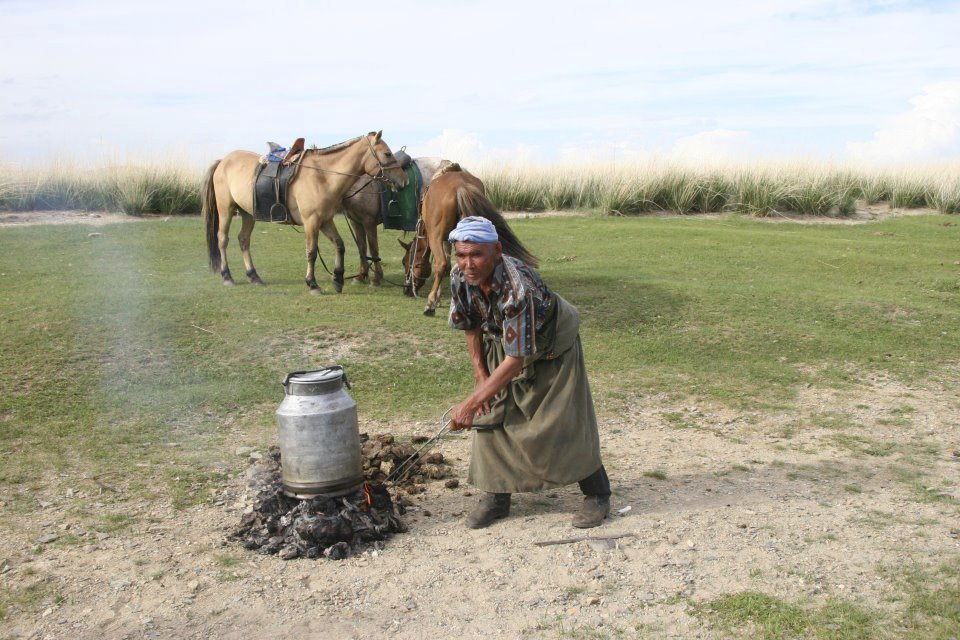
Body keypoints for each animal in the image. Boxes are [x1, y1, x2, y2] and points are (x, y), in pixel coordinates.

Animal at [204, 131, 406, 296]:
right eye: (387, 154)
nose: (403, 181)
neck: (322, 176)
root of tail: (223, 161)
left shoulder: (325, 220)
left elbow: (339, 245)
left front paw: (338, 279)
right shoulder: (312, 221)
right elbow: (311, 252)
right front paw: (312, 284)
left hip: (247, 213)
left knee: (244, 240)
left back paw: (253, 276)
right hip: (226, 209)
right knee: (222, 239)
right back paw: (227, 276)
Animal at [402, 165, 540, 316]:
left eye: (405, 262)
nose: (406, 289)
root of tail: (460, 185)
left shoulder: (440, 238)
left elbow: (443, 265)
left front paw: (434, 301)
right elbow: (450, 267)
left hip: (436, 236)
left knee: (442, 264)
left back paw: (430, 304)